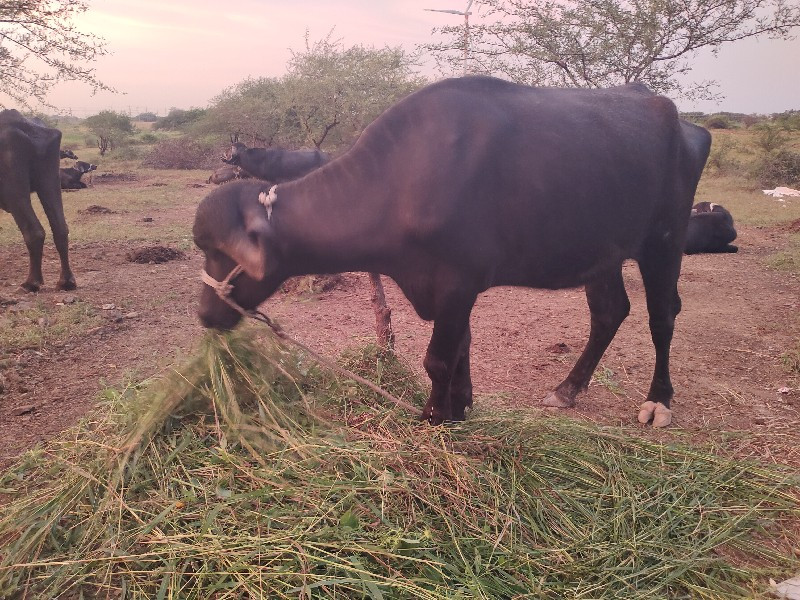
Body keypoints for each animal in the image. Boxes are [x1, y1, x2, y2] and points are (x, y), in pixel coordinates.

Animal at [0, 112, 76, 292]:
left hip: (15, 192)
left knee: (34, 231)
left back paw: (31, 283)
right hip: (50, 181)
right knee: (60, 229)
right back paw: (66, 281)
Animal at [195, 77, 712, 428]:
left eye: (219, 253)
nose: (204, 314)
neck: (402, 183)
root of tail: (682, 122)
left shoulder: (457, 284)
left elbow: (438, 359)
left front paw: (433, 415)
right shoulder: (450, 293)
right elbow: (461, 348)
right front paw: (460, 406)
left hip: (663, 240)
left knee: (662, 316)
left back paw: (658, 401)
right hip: (603, 251)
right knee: (609, 311)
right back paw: (567, 389)